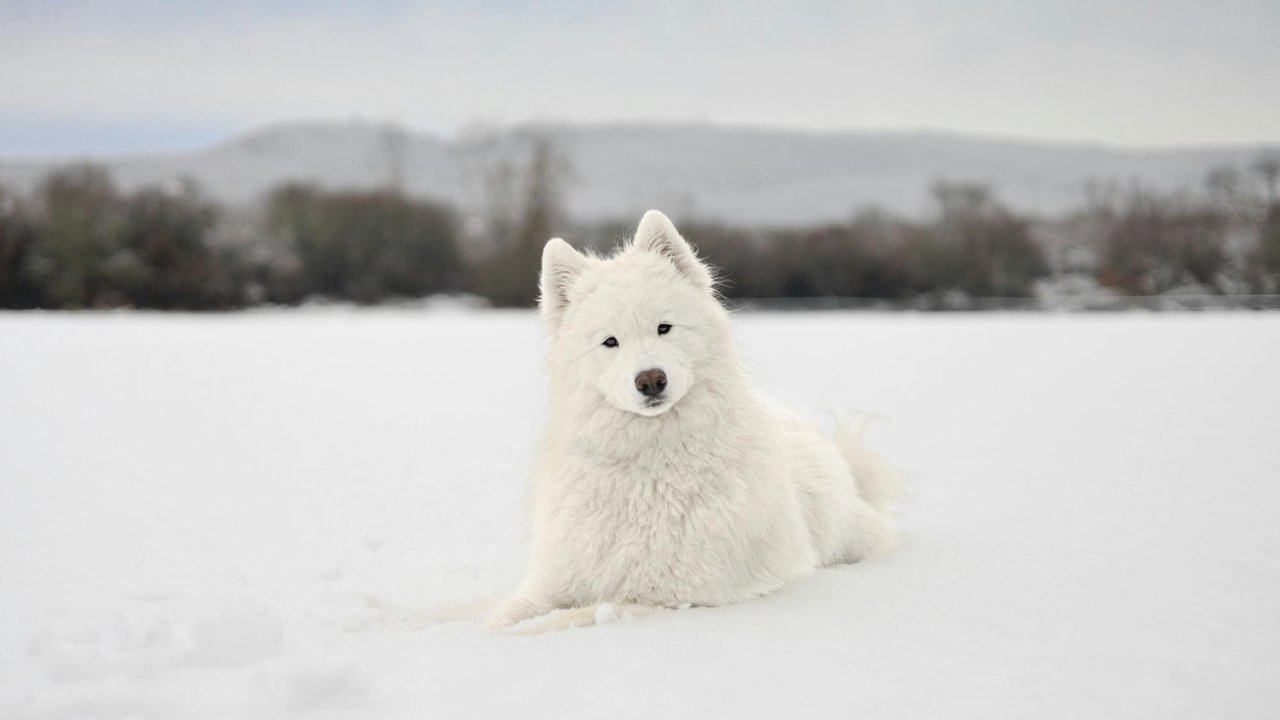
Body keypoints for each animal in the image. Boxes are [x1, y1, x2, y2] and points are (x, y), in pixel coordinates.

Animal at [488, 208, 901, 627]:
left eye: (664, 328)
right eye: (610, 342)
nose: (651, 380)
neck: (649, 464)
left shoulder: (667, 594)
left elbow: (566, 620)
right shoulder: (555, 581)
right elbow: (509, 613)